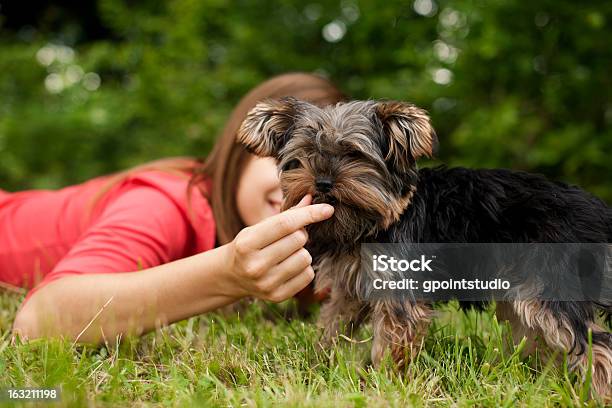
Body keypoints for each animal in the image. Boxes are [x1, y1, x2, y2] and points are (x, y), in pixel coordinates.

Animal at [235, 97, 612, 396]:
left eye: (353, 155)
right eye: (305, 156)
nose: (323, 182)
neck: (375, 220)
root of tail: (595, 211)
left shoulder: (400, 288)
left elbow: (392, 341)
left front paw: (385, 385)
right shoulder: (351, 287)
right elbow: (334, 324)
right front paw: (319, 365)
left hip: (551, 281)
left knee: (593, 342)